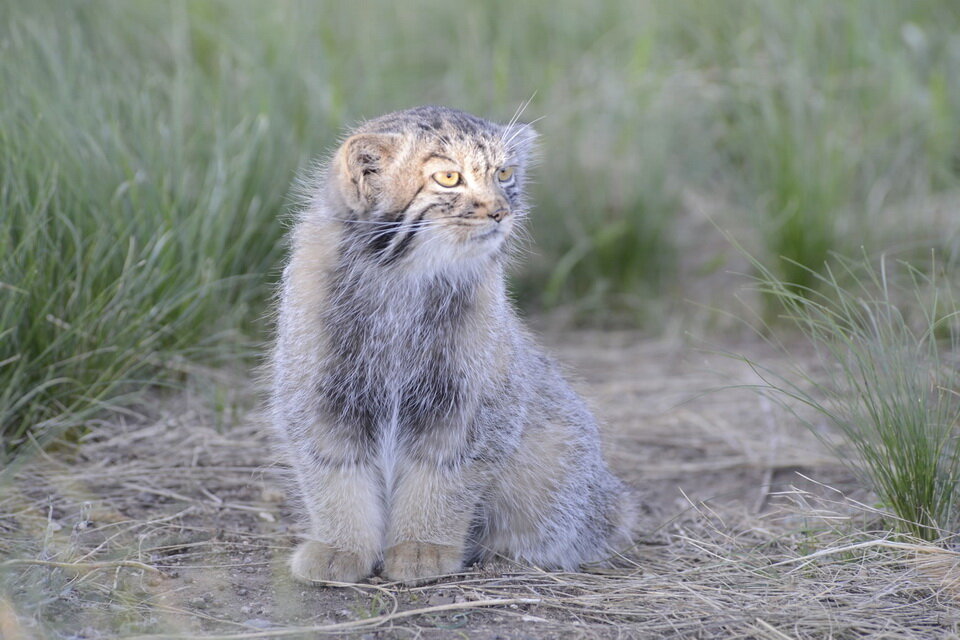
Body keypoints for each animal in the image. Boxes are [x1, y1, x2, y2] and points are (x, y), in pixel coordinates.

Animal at [270, 105, 632, 584]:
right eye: (448, 178)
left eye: (504, 173)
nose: (500, 212)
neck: (402, 281)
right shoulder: (321, 400)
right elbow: (333, 479)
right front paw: (340, 547)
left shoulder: (467, 406)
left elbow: (443, 481)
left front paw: (423, 547)